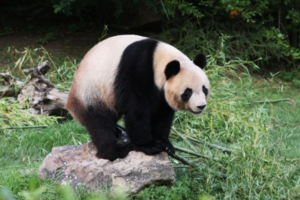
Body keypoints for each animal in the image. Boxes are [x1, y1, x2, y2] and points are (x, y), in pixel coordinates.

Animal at [66, 34, 211, 161]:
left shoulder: (161, 93)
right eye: (188, 92)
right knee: (100, 125)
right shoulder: (136, 70)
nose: (201, 106)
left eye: (204, 89)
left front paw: (165, 144)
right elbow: (136, 109)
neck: (158, 59)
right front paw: (149, 146)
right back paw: (115, 151)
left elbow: (163, 114)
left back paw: (117, 132)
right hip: (91, 93)